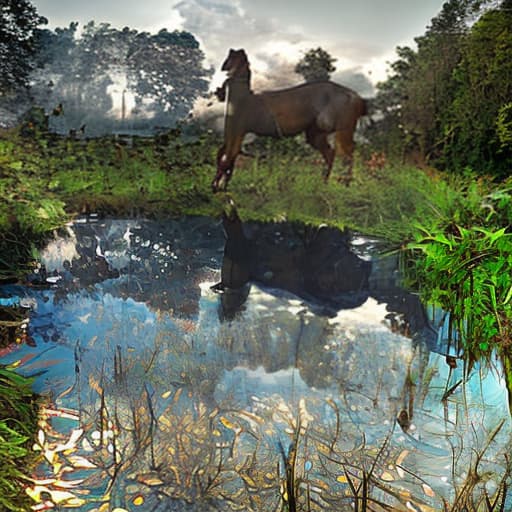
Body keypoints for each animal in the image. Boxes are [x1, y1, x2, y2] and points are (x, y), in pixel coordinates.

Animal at [212, 48, 368, 192]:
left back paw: (345, 185)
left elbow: (226, 158)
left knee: (348, 154)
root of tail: (358, 98)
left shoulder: (237, 131)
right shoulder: (233, 133)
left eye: (231, 57)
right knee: (331, 153)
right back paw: (323, 183)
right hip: (315, 133)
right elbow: (224, 156)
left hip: (343, 128)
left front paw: (216, 187)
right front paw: (221, 185)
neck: (242, 97)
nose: (225, 66)